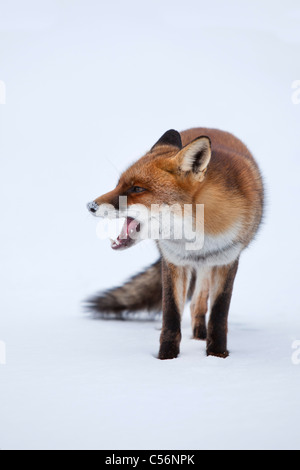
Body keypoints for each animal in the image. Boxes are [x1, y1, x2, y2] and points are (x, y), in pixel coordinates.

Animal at [86, 129, 262, 360]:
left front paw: (217, 355)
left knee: (198, 303)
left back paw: (200, 336)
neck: (197, 236)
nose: (90, 206)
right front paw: (166, 358)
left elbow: (218, 315)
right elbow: (170, 316)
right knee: (194, 303)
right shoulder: (173, 261)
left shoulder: (227, 260)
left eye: (137, 188)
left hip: (208, 265)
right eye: (119, 184)